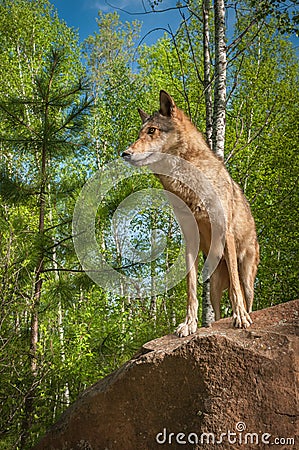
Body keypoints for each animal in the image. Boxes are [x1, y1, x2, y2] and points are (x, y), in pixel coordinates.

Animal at [122, 91, 260, 336]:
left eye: (152, 131)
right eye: (139, 133)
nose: (125, 153)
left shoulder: (224, 233)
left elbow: (234, 290)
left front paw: (240, 318)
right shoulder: (190, 240)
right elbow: (191, 289)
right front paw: (189, 324)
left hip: (247, 277)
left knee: (242, 293)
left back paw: (243, 314)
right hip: (213, 286)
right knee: (217, 310)